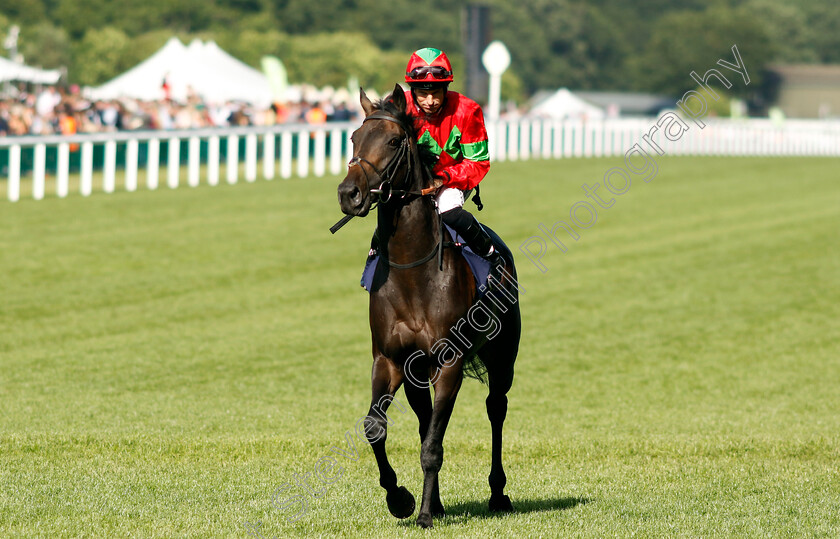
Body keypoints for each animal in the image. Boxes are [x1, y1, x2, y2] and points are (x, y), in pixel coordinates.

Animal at [334, 83, 520, 528]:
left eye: (394, 141)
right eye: (353, 138)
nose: (348, 194)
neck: (412, 271)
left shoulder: (449, 362)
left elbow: (433, 446)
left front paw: (422, 514)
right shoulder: (390, 360)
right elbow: (376, 427)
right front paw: (401, 499)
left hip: (502, 356)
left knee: (496, 408)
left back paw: (497, 493)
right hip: (417, 373)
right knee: (425, 421)